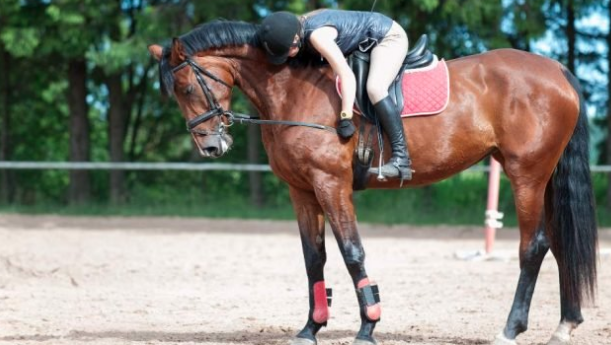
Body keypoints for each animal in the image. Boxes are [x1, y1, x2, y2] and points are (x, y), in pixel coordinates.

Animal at [148, 20, 596, 344]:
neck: (291, 90)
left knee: (533, 246)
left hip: (526, 175)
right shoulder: (302, 191)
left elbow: (352, 253)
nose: (211, 147)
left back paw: (510, 329)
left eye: (186, 86)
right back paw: (565, 325)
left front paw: (368, 327)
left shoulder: (331, 185)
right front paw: (311, 328)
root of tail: (556, 69)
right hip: (544, 177)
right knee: (560, 243)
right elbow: (314, 259)